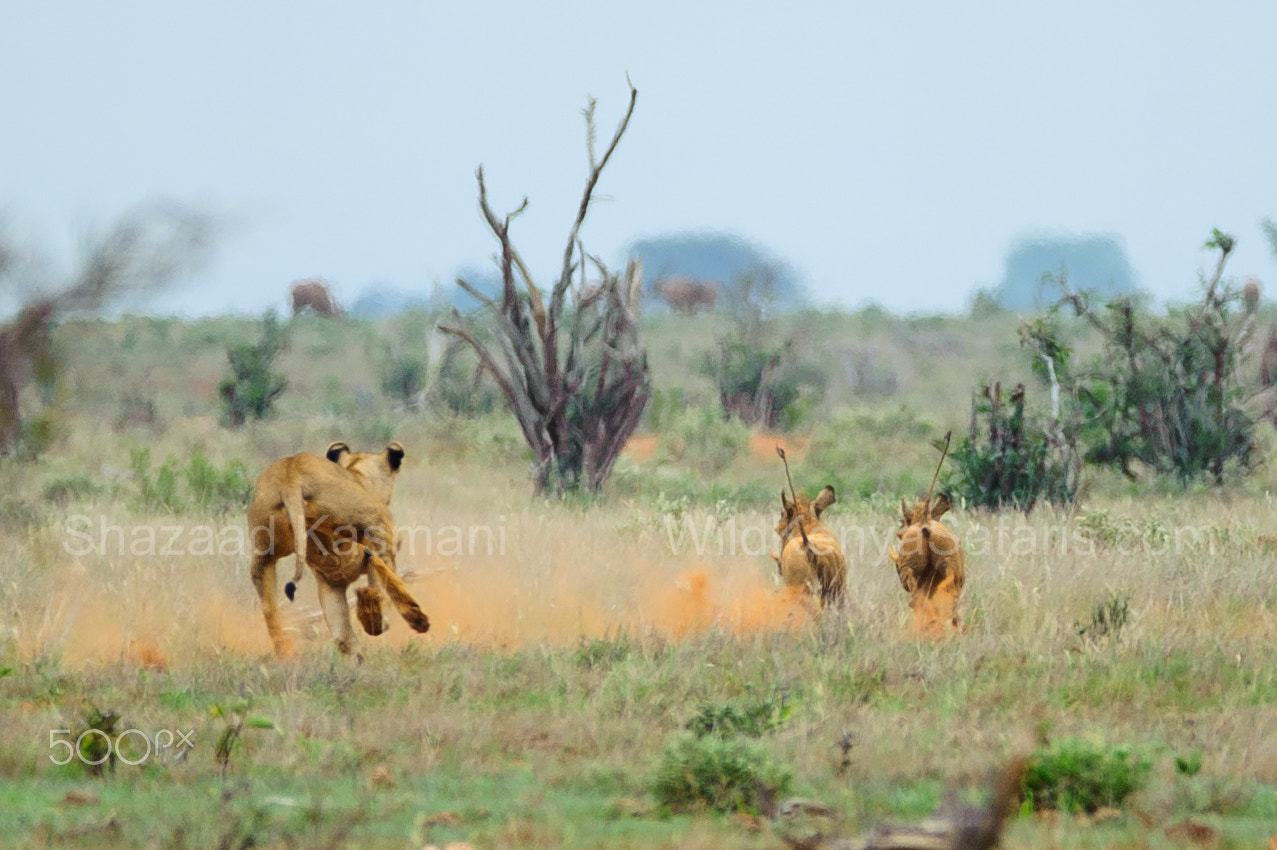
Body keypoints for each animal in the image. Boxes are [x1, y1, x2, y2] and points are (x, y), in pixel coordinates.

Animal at [247, 440, 429, 656]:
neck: (358, 475)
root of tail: (290, 477)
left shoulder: (330, 581)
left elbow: (343, 635)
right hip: (374, 525)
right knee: (381, 586)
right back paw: (409, 616)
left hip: (264, 554)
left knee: (271, 616)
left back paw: (288, 656)